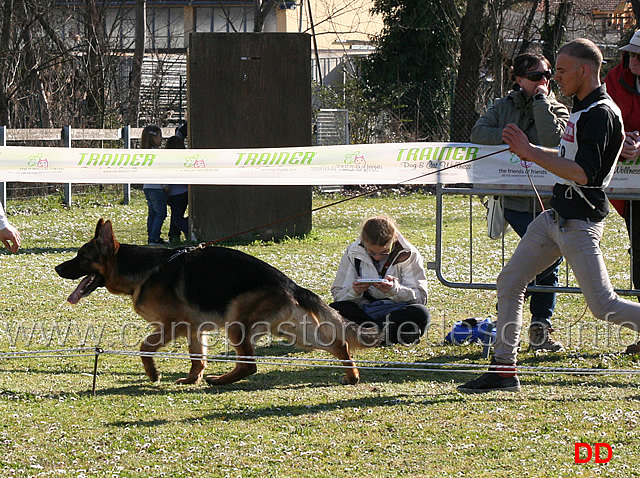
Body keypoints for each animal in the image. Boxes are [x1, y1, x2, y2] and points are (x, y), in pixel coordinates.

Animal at [56, 219, 380, 384]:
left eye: (81, 257)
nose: (57, 269)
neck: (146, 270)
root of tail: (289, 282)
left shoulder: (172, 325)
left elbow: (145, 348)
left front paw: (154, 373)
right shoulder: (194, 328)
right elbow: (197, 357)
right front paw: (191, 380)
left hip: (237, 323)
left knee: (250, 365)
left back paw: (221, 380)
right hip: (292, 332)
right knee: (338, 343)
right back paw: (352, 375)